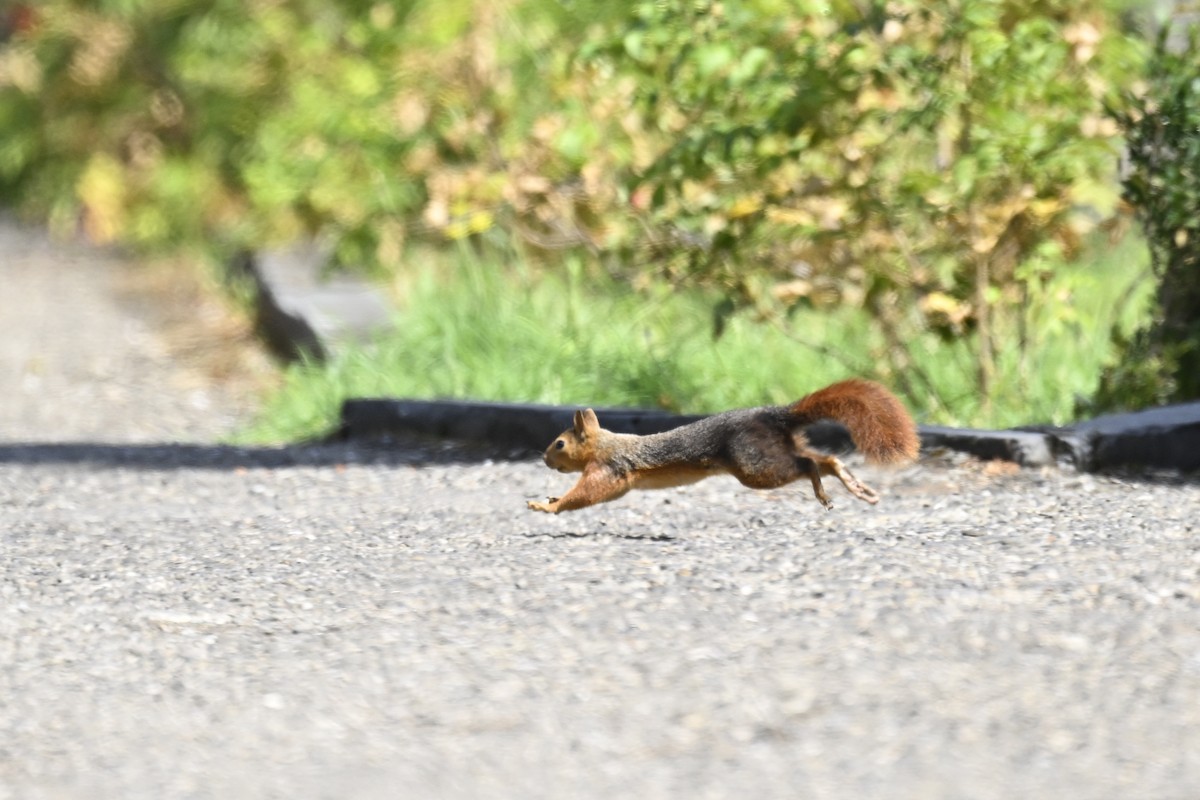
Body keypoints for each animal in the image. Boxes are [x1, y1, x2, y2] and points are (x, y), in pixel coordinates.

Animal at [527, 378, 918, 514]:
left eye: (559, 444)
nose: (544, 459)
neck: (603, 444)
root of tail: (773, 415)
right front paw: (549, 497)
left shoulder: (609, 470)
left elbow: (587, 494)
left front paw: (547, 505)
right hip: (773, 451)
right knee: (825, 459)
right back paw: (855, 487)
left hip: (755, 465)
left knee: (808, 465)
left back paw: (825, 494)